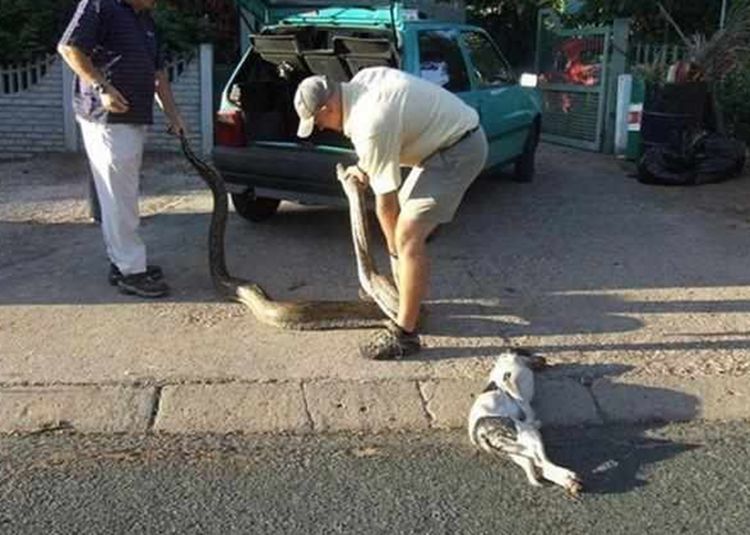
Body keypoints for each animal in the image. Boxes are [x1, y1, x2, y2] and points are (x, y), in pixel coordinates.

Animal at [468, 350, 584, 496]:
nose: (545, 359)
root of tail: (480, 433)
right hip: (529, 436)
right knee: (543, 463)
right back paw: (568, 477)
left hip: (514, 451)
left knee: (537, 464)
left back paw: (569, 482)